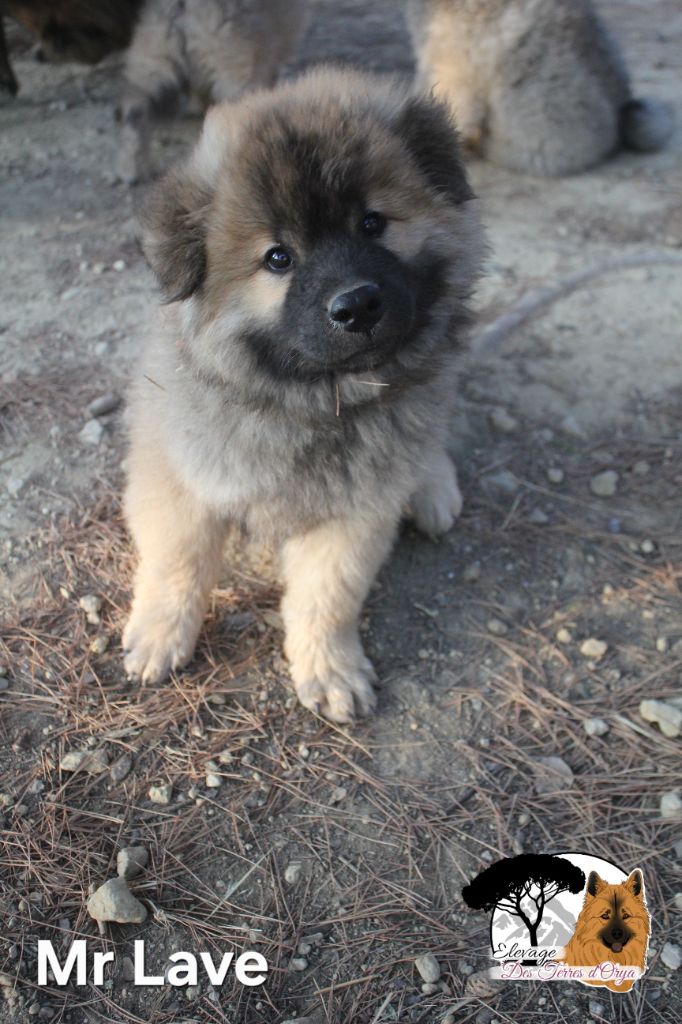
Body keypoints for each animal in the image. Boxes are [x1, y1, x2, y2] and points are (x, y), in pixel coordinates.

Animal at [122, 67, 483, 722]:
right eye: (278, 258)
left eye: (372, 223)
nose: (357, 305)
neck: (309, 405)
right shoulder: (178, 475)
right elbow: (176, 562)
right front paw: (160, 635)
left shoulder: (356, 512)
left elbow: (328, 595)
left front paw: (330, 669)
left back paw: (433, 487)